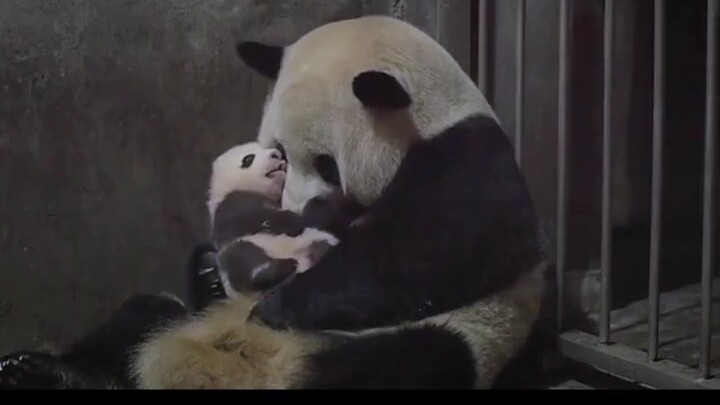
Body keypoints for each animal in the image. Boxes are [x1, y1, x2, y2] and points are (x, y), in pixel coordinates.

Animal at [0, 15, 546, 390]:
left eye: (328, 165)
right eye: (277, 152)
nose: (298, 211)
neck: (433, 114)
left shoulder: (464, 162)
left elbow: (429, 251)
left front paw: (275, 303)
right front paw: (210, 267)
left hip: (443, 340)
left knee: (394, 365)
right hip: (182, 318)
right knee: (143, 315)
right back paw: (45, 371)